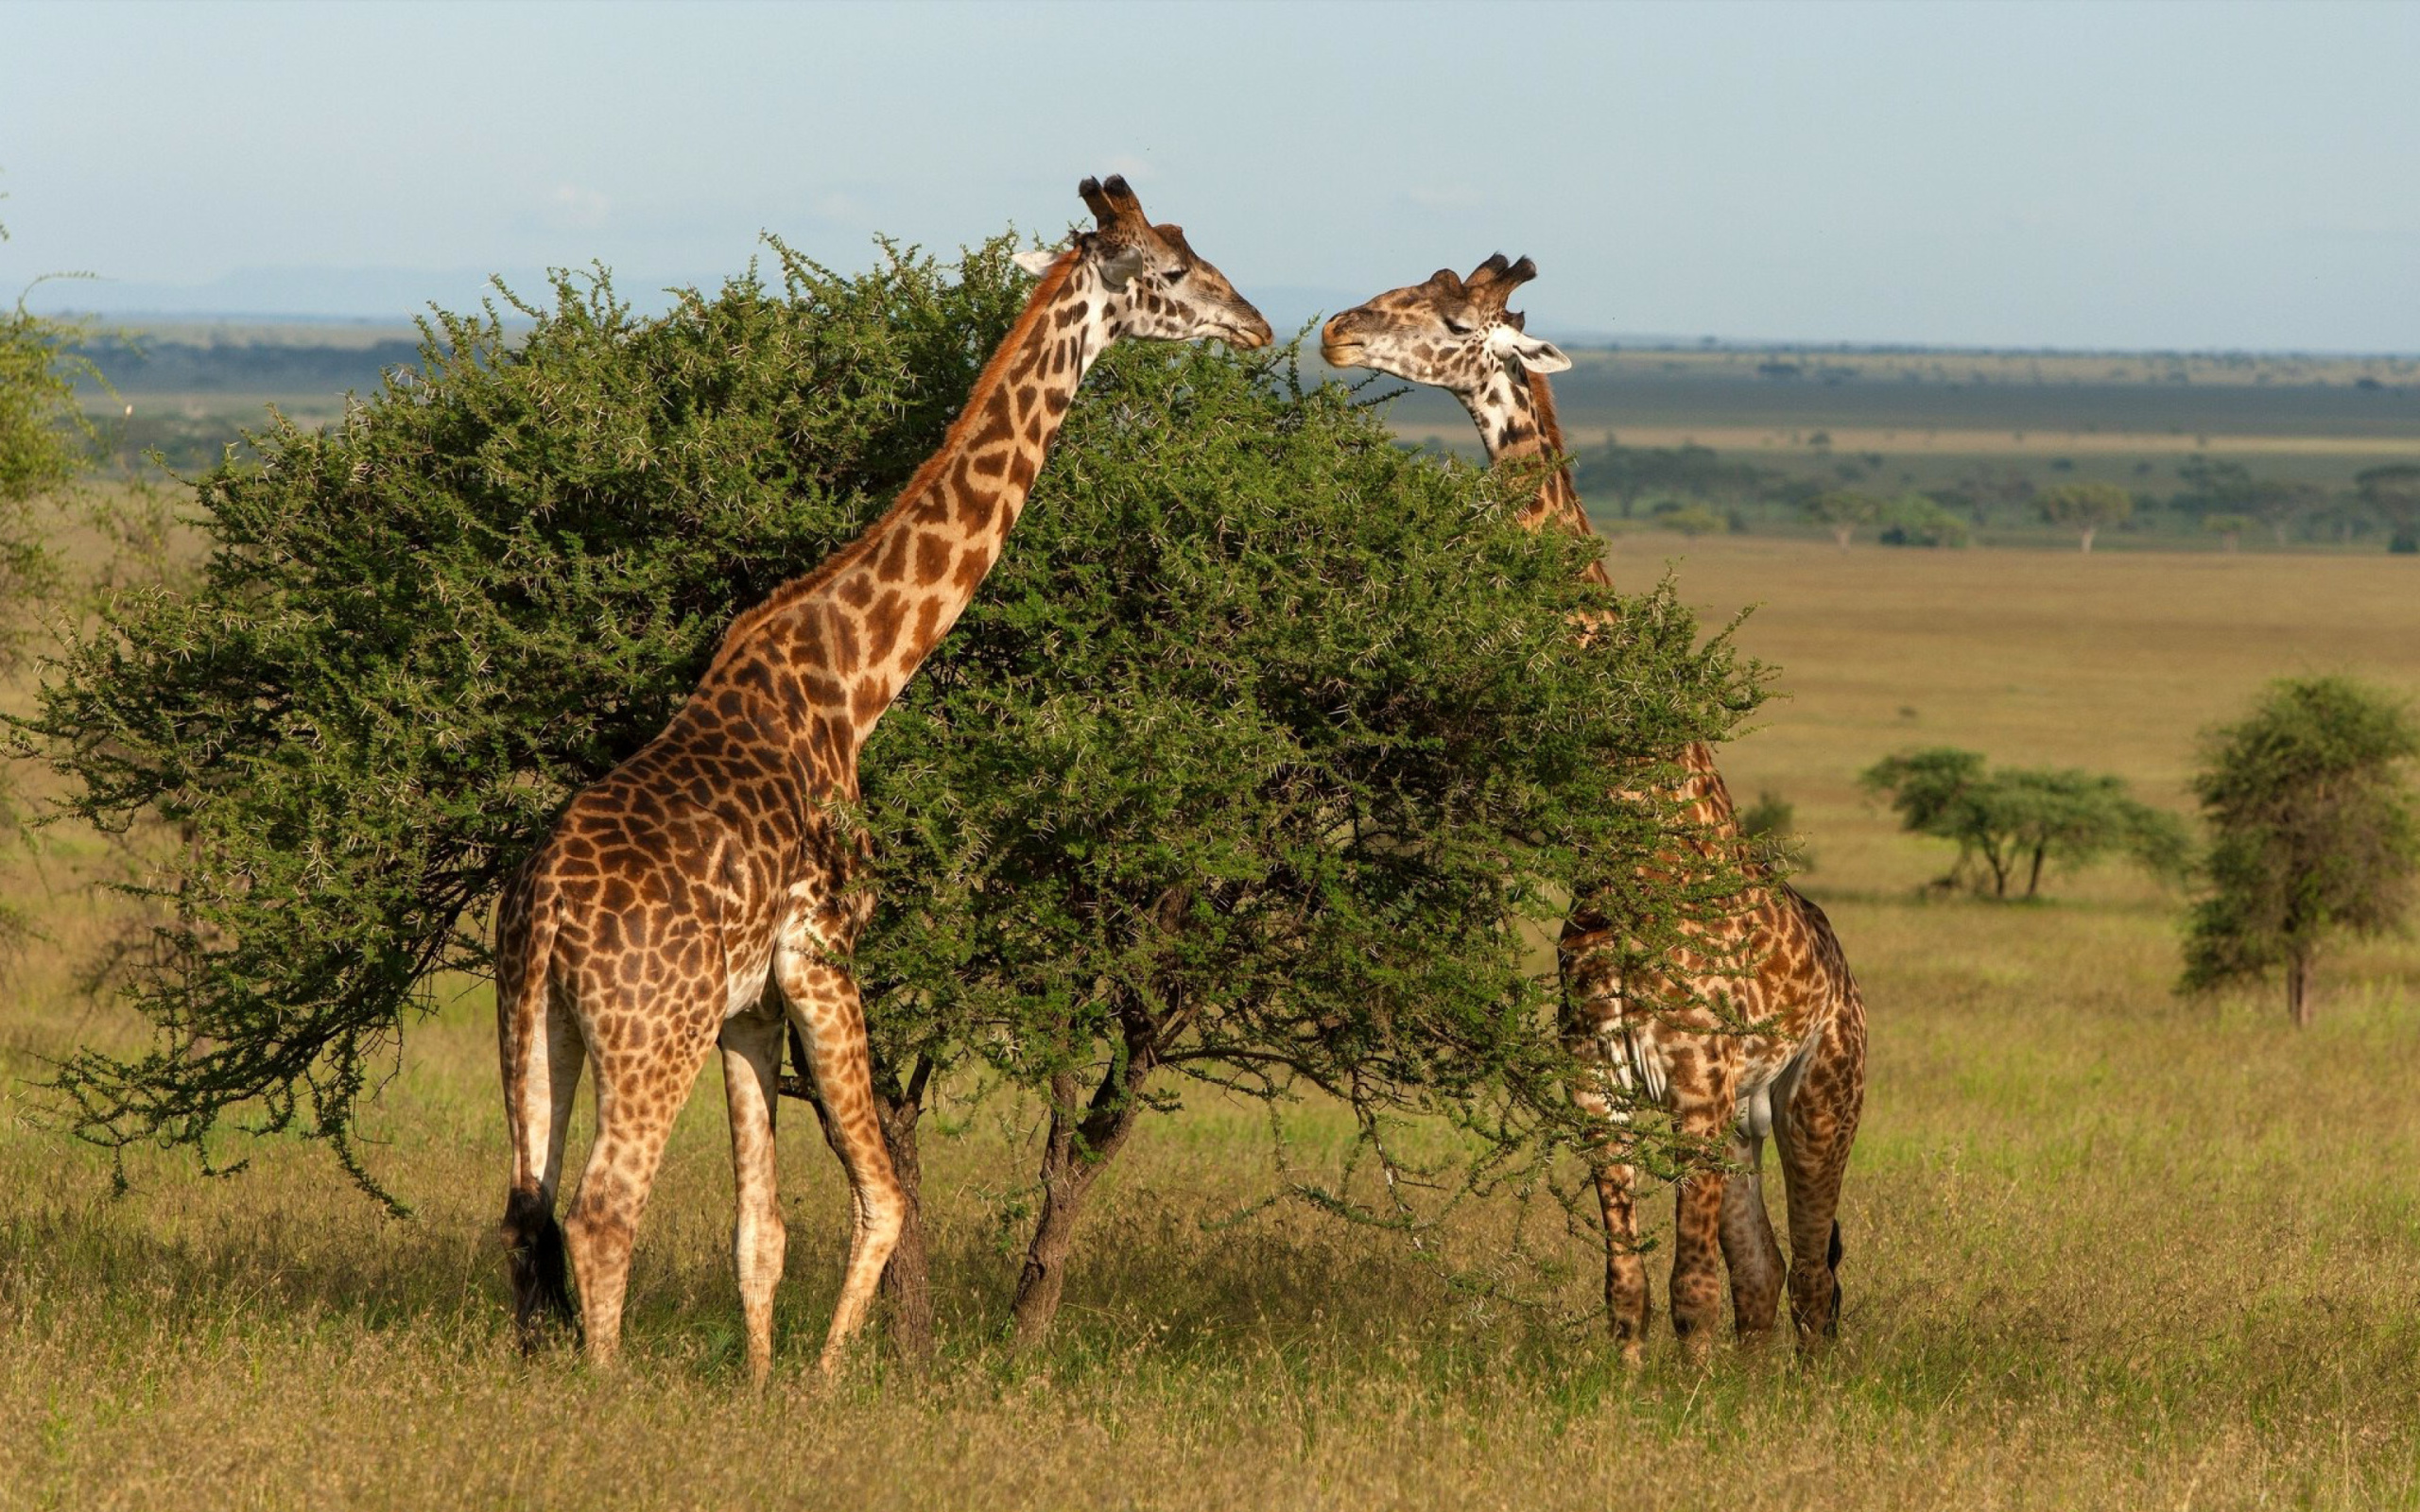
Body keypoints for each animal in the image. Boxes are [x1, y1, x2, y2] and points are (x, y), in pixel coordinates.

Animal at [498, 176, 1277, 1383]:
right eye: (1175, 272)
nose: (1257, 325)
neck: (856, 681)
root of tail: (542, 909)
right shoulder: (826, 954)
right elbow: (885, 1198)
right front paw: (823, 1384)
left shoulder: (750, 1005)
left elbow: (761, 1227)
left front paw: (762, 1389)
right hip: (649, 1030)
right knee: (602, 1209)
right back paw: (607, 1392)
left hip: (539, 1027)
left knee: (526, 1206)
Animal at [1325, 253, 1868, 1364]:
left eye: (1454, 320)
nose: (1334, 334)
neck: (1629, 837)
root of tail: (1848, 978)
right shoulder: (1600, 1085)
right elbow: (1629, 1284)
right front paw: (1625, 1388)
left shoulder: (1696, 1088)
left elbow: (1690, 1288)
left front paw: (1683, 1397)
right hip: (1748, 1119)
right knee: (1767, 1281)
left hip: (1821, 1099)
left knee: (1811, 1288)